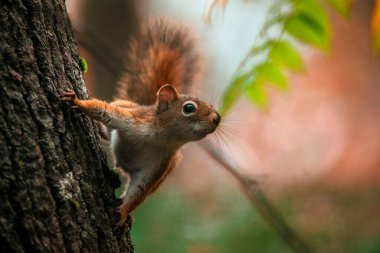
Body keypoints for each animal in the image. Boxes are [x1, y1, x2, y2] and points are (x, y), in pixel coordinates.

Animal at [60, 18, 221, 225]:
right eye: (189, 108)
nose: (217, 119)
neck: (161, 138)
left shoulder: (159, 164)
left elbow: (141, 189)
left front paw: (123, 212)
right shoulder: (131, 119)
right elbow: (104, 112)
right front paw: (77, 102)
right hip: (125, 106)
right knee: (108, 130)